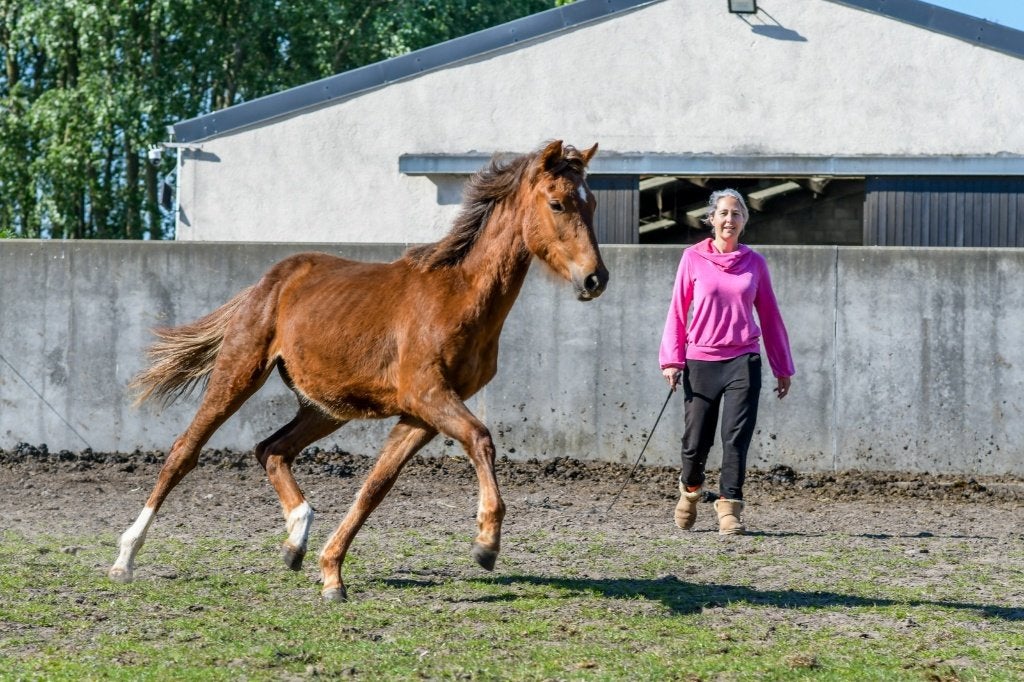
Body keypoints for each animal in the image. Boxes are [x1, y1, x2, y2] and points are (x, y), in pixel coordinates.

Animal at [109, 139, 608, 601]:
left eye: (592, 203)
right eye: (557, 203)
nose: (595, 279)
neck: (457, 297)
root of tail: (269, 282)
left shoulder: (421, 414)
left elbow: (375, 487)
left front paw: (331, 575)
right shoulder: (427, 395)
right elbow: (481, 439)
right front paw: (486, 544)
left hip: (325, 406)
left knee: (272, 449)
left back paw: (295, 540)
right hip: (239, 374)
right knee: (184, 452)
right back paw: (125, 559)